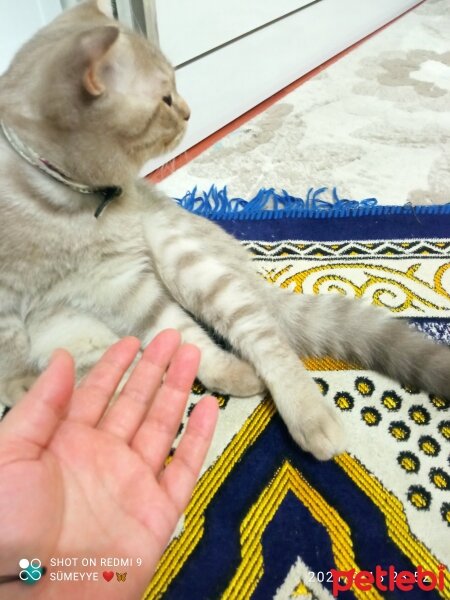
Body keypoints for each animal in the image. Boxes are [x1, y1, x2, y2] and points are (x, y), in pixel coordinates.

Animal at [0, 0, 448, 462]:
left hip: (183, 260)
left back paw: (300, 409)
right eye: (165, 98)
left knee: (260, 337)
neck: (66, 204)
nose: (187, 111)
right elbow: (12, 346)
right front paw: (24, 386)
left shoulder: (125, 282)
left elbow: (184, 335)